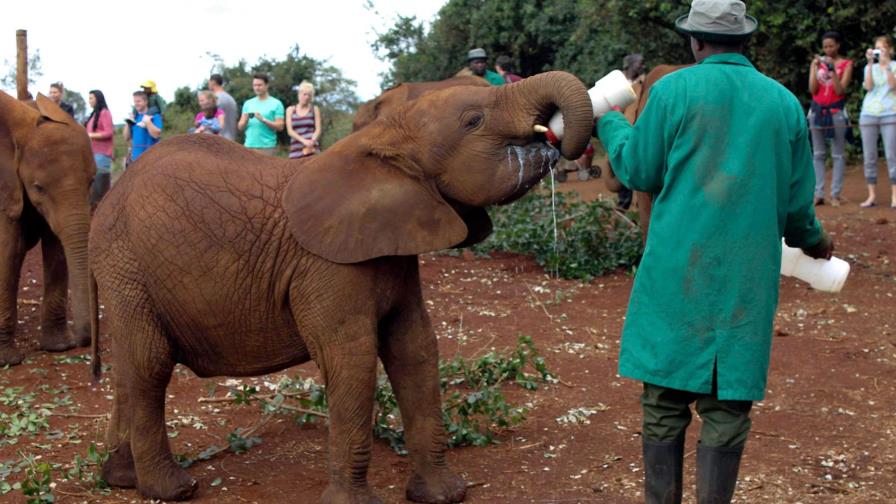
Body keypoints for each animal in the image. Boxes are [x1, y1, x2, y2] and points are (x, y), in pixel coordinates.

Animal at [0, 91, 96, 366]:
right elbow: (7, 252)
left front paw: (58, 347)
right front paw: (8, 360)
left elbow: (56, 248)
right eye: (38, 187)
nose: (82, 340)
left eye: (91, 181)